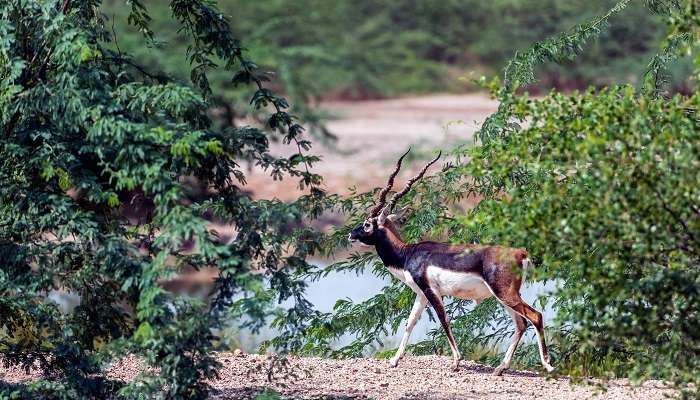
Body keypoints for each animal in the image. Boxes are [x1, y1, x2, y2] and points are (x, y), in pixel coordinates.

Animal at [348, 149, 556, 376]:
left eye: (367, 224)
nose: (351, 235)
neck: (408, 254)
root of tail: (520, 253)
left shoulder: (432, 291)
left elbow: (444, 320)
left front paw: (456, 361)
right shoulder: (421, 294)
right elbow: (409, 323)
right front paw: (395, 360)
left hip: (505, 294)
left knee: (535, 316)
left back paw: (547, 364)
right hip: (504, 296)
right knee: (521, 323)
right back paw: (501, 368)